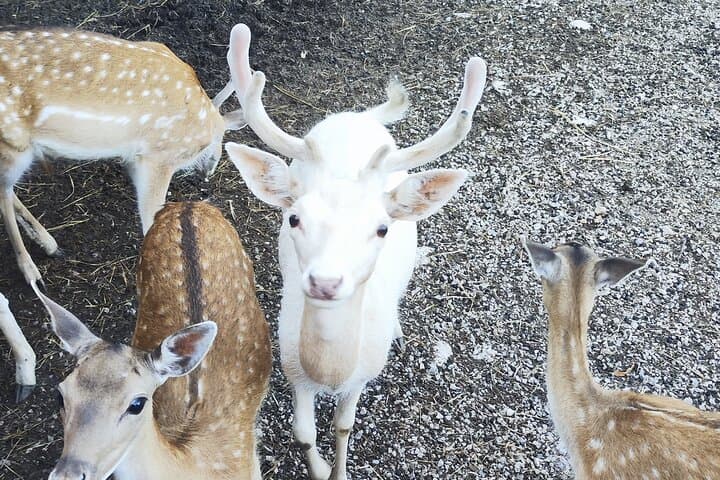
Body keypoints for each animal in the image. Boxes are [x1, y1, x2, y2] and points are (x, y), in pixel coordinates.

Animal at [0, 28, 244, 285]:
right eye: (222, 143)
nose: (208, 172)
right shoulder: (160, 156)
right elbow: (150, 215)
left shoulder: (136, 157)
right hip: (15, 145)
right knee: (3, 192)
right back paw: (32, 269)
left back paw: (49, 245)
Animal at [223, 23, 487, 480]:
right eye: (294, 218)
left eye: (381, 228)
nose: (326, 282)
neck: (331, 373)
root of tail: (358, 117)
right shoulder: (292, 369)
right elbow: (304, 433)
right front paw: (319, 467)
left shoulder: (362, 376)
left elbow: (344, 426)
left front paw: (340, 470)